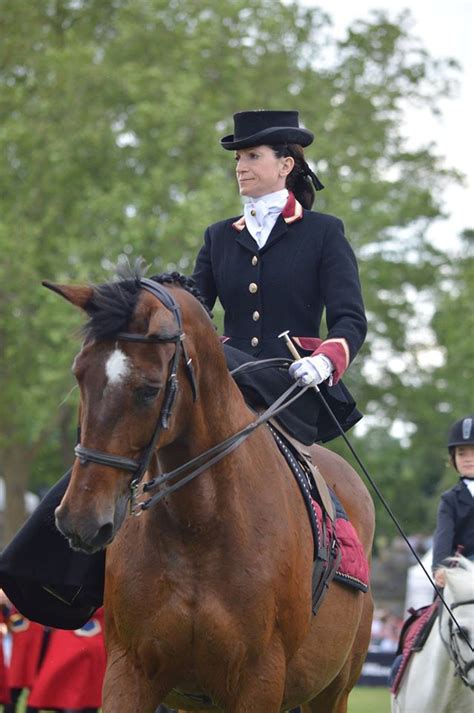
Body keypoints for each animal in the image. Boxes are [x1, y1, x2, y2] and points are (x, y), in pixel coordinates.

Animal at [47, 268, 374, 712]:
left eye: (149, 389)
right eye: (79, 374)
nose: (79, 520)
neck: (198, 524)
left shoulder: (259, 681)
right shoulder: (128, 670)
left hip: (332, 691)